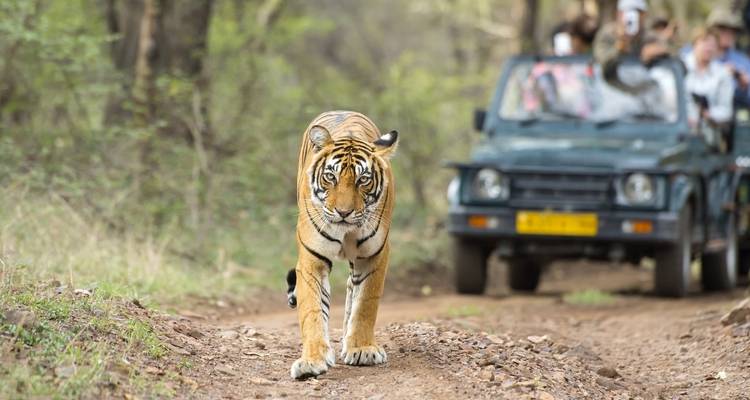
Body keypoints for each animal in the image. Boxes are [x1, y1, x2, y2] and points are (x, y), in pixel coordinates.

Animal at [286, 111, 398, 380]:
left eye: (363, 180)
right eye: (331, 177)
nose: (344, 213)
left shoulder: (374, 256)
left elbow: (366, 303)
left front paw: (361, 349)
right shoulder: (311, 259)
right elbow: (312, 310)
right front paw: (312, 361)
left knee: (351, 289)